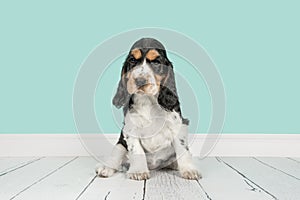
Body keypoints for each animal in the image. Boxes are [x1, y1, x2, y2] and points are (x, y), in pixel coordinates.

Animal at [95, 37, 202, 180]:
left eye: (156, 62)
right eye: (132, 60)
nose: (140, 81)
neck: (148, 100)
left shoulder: (178, 125)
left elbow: (182, 149)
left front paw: (189, 170)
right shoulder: (130, 128)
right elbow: (136, 150)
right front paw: (139, 171)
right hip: (121, 143)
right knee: (116, 154)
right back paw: (105, 168)